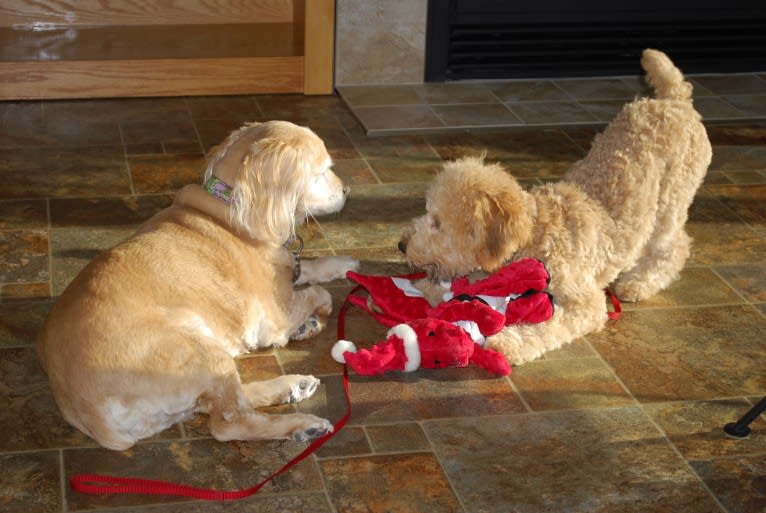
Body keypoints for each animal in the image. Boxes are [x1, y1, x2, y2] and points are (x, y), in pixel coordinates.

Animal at [36, 120, 360, 448]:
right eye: (322, 171)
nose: (347, 190)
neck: (229, 205)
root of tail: (89, 414)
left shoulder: (286, 270)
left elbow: (307, 267)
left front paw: (342, 265)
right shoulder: (277, 316)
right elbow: (322, 294)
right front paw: (310, 324)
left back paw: (294, 385)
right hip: (200, 348)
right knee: (229, 423)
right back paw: (303, 423)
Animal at [402, 49, 712, 364]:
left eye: (437, 223)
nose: (402, 245)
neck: (534, 235)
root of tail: (674, 100)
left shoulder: (584, 303)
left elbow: (545, 328)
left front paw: (508, 342)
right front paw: (429, 288)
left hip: (669, 207)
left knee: (675, 247)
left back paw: (639, 282)